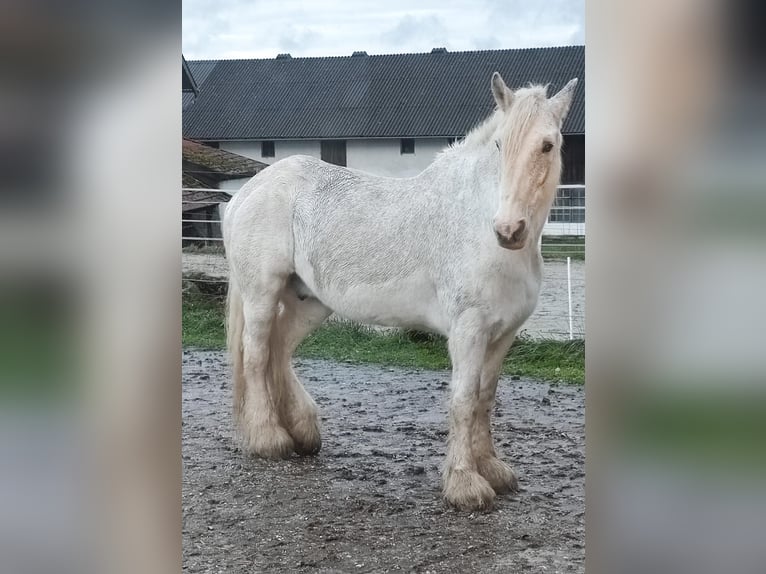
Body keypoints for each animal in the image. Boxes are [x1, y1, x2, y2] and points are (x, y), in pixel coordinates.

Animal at [222, 72, 578, 511]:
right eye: (499, 145)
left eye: (547, 145)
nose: (508, 230)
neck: (477, 224)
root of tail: (246, 192)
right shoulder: (468, 330)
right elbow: (464, 399)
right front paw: (464, 483)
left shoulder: (503, 334)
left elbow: (485, 398)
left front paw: (493, 470)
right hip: (261, 293)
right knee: (256, 355)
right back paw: (268, 438)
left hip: (310, 301)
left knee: (280, 348)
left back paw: (302, 432)